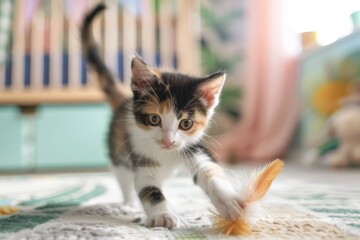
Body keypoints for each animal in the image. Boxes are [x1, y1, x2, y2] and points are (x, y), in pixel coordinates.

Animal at [83, 3, 243, 229]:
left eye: (186, 123)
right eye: (154, 119)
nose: (168, 141)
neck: (166, 154)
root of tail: (124, 101)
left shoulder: (192, 146)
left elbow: (209, 171)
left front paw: (230, 202)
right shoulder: (140, 154)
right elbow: (149, 187)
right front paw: (162, 215)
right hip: (118, 152)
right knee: (123, 178)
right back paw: (128, 204)